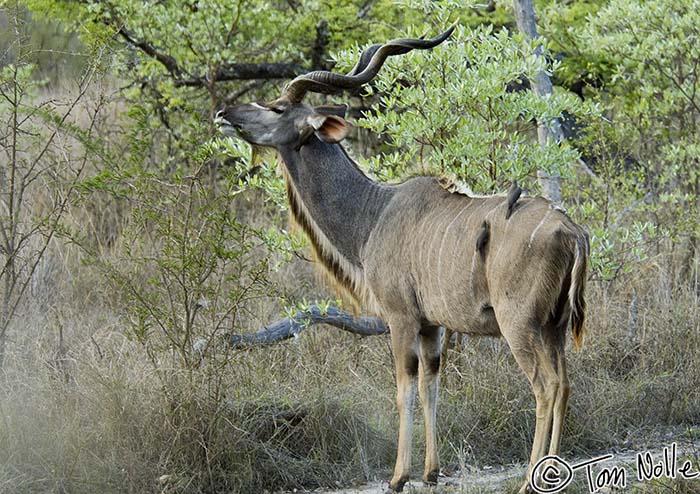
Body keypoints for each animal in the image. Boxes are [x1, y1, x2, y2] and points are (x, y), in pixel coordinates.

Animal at [216, 26, 588, 494]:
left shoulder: (401, 317)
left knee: (545, 385)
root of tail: (571, 231)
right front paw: (431, 472)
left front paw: (398, 476)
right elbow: (431, 384)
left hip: (520, 323)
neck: (374, 212)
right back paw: (555, 472)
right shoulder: (432, 325)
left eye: (277, 107)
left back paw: (529, 480)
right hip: (555, 326)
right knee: (565, 384)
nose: (224, 112)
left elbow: (403, 387)